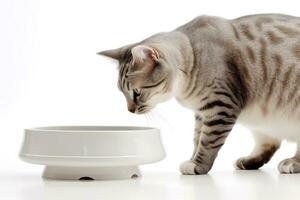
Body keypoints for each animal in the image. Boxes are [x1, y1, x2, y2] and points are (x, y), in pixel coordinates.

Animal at [98, 14, 300, 174]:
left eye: (136, 92)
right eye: (122, 93)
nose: (130, 110)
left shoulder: (219, 107)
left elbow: (208, 142)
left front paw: (197, 166)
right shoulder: (202, 112)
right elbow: (197, 139)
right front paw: (192, 159)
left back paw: (292, 163)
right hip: (261, 124)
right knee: (270, 144)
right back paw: (247, 162)